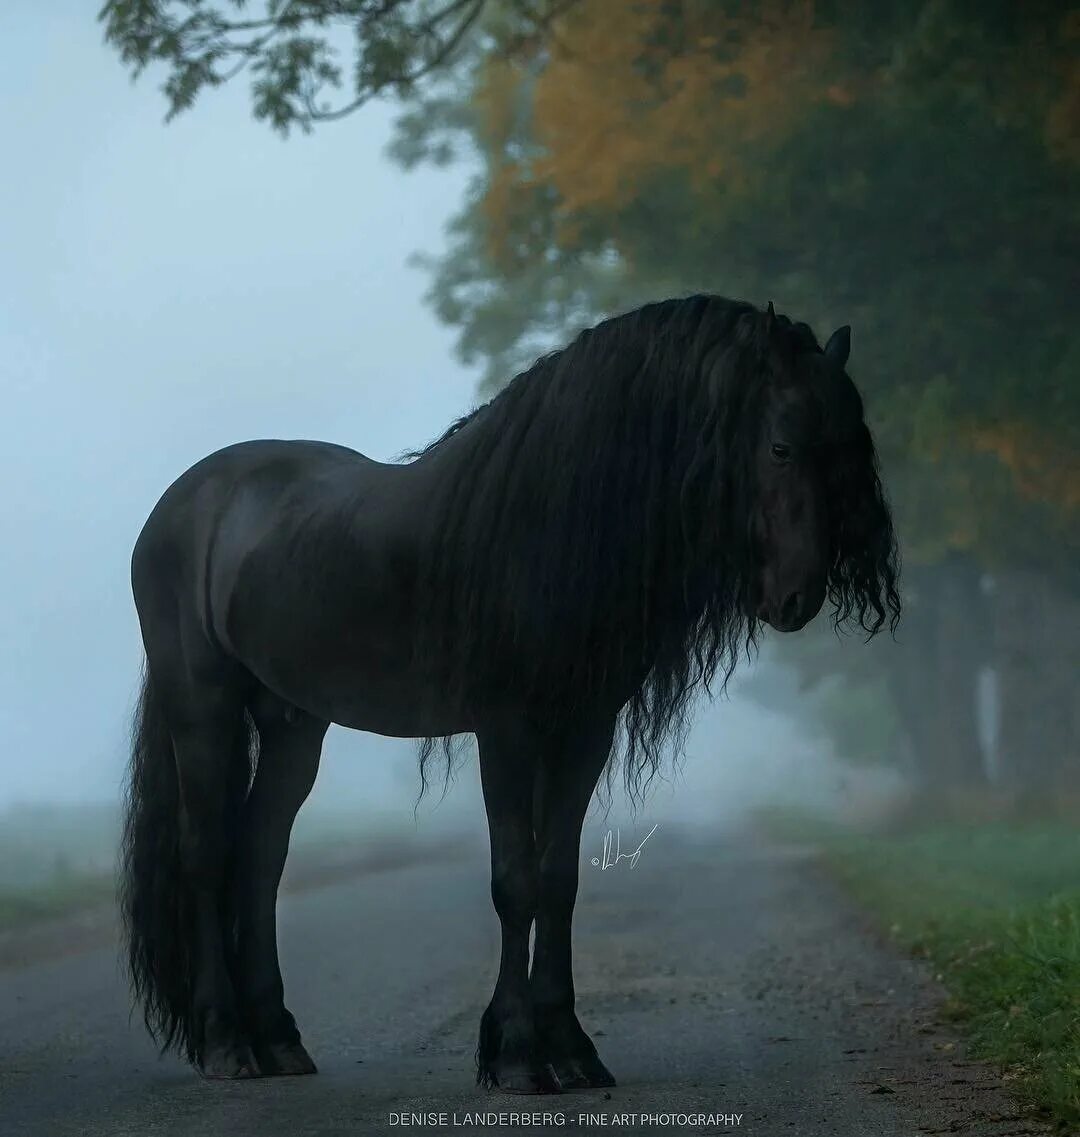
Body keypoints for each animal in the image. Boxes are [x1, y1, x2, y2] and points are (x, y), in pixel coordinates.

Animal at [122, 293, 904, 1091]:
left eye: (850, 443)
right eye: (780, 446)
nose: (798, 597)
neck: (551, 526)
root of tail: (186, 500)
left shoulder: (585, 728)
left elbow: (558, 879)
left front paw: (571, 1048)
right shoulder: (505, 729)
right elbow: (514, 881)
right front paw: (519, 1053)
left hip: (292, 722)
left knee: (261, 853)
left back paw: (279, 1038)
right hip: (203, 706)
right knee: (206, 852)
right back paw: (227, 1041)